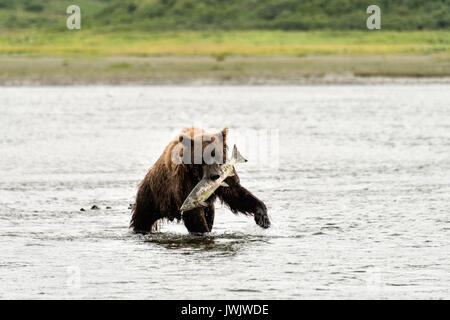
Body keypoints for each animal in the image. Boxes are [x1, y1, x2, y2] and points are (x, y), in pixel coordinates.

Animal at [130, 126, 270, 234]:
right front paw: (203, 231)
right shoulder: (186, 181)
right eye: (202, 158)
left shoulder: (225, 175)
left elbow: (235, 192)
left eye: (217, 155)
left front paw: (262, 216)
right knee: (142, 219)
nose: (214, 176)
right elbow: (193, 214)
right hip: (152, 196)